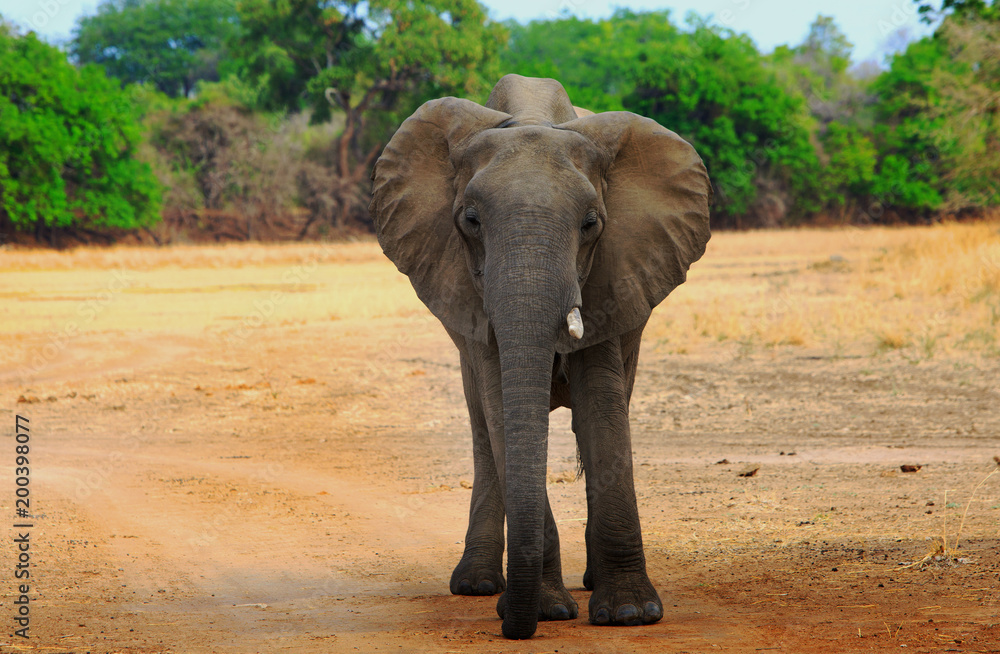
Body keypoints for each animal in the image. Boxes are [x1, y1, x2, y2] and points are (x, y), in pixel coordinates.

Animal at [370, 73, 712, 640]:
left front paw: (630, 614)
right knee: (481, 428)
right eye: (470, 221)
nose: (514, 624)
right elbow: (499, 405)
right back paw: (478, 585)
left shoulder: (613, 271)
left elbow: (601, 407)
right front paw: (549, 610)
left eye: (592, 223)